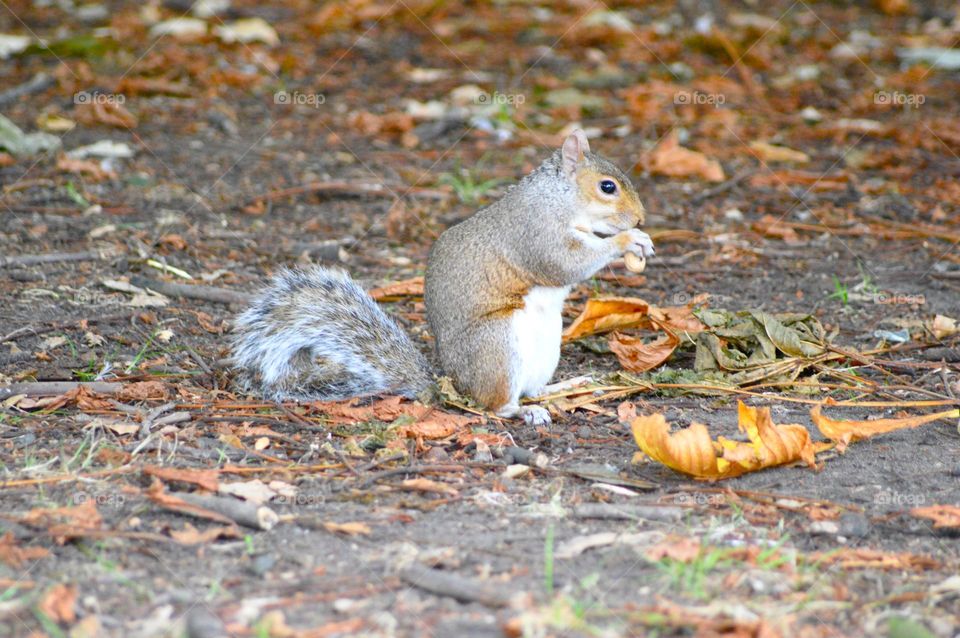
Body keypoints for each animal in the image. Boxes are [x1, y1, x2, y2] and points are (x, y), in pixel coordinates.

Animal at [232, 131, 652, 428]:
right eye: (607, 187)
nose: (640, 218)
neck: (560, 200)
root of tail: (452, 385)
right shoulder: (533, 233)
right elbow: (565, 263)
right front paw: (627, 241)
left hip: (547, 346)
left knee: (534, 387)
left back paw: (565, 386)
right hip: (497, 345)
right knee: (494, 405)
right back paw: (522, 412)